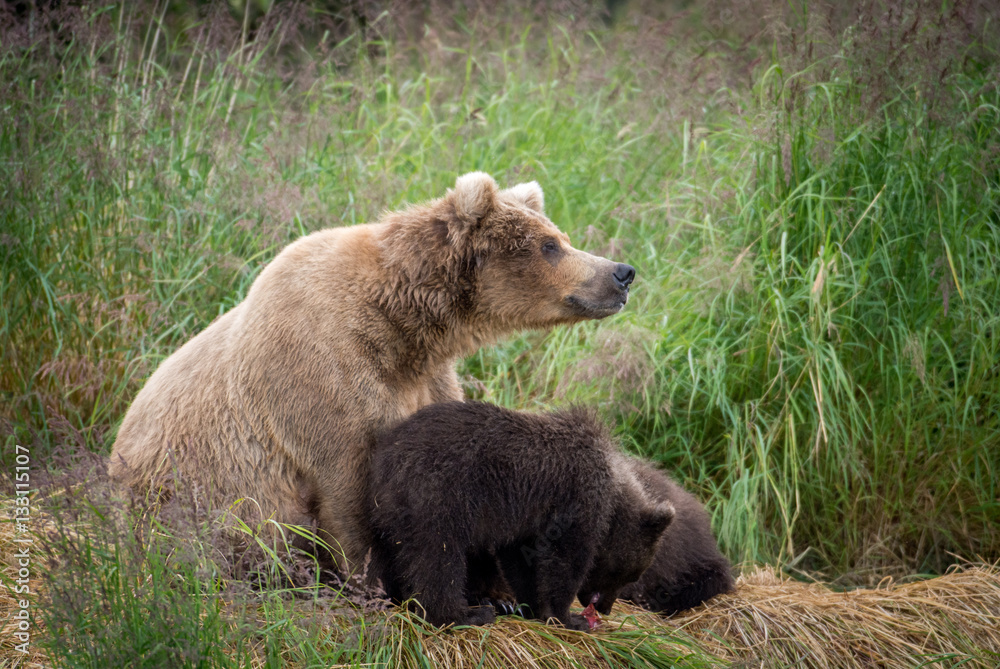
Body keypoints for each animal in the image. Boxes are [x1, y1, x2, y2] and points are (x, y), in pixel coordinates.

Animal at [109, 172, 636, 569]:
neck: (404, 326)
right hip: (184, 499)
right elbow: (348, 490)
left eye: (562, 237)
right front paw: (376, 582)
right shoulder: (321, 373)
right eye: (550, 246)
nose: (622, 272)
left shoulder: (428, 377)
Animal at [367, 400, 674, 630]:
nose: (605, 608)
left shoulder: (527, 520)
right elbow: (566, 559)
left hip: (395, 513)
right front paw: (568, 616)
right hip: (439, 495)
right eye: (630, 575)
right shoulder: (577, 498)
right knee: (439, 557)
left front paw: (531, 605)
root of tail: (385, 458)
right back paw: (465, 614)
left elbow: (521, 560)